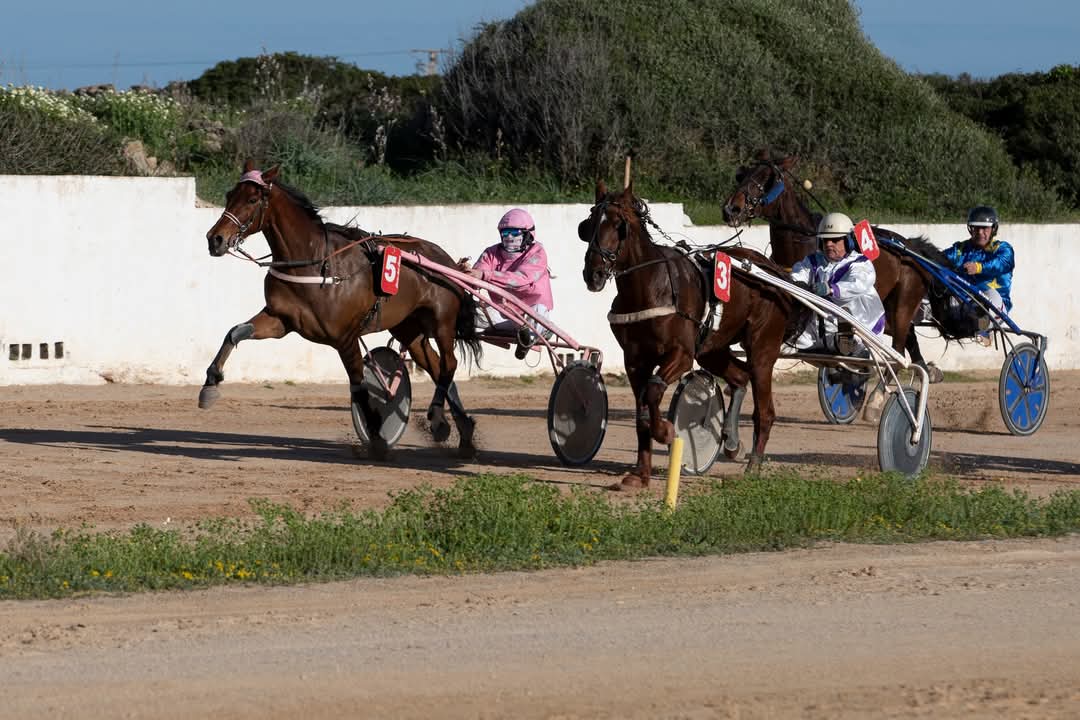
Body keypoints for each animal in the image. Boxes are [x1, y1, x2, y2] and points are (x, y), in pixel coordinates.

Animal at [201, 161, 482, 459]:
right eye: (229, 195)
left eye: (253, 199)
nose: (215, 239)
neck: (315, 264)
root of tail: (446, 260)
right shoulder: (281, 320)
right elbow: (234, 332)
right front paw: (210, 384)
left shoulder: (345, 337)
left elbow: (358, 386)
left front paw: (377, 438)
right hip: (408, 328)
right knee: (437, 366)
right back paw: (459, 432)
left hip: (442, 321)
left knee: (449, 364)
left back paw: (440, 419)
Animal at [579, 181, 809, 487]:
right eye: (589, 224)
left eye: (620, 224)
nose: (593, 273)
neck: (650, 287)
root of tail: (774, 273)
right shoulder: (635, 361)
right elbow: (641, 412)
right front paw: (641, 473)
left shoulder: (681, 355)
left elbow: (654, 392)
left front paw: (665, 431)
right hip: (712, 349)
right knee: (740, 377)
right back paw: (732, 442)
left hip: (762, 348)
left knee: (765, 410)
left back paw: (754, 465)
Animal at [722, 150, 951, 384]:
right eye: (742, 175)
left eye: (768, 178)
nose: (732, 208)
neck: (801, 242)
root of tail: (911, 246)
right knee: (907, 338)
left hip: (904, 302)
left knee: (899, 343)